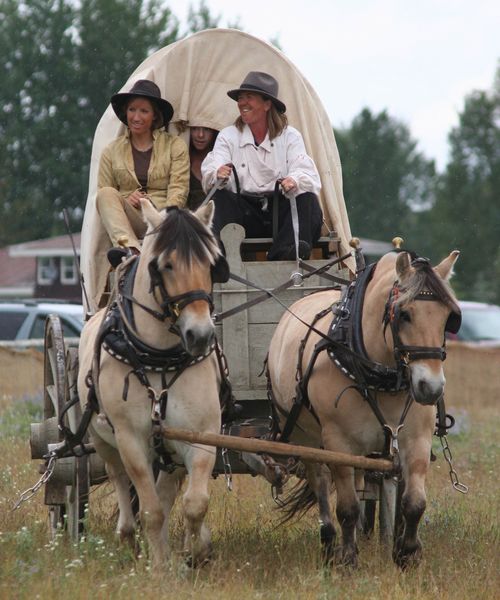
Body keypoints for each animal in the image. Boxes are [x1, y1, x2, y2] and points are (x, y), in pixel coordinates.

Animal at [77, 200, 229, 568]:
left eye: (211, 263)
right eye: (166, 264)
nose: (200, 335)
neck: (159, 357)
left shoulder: (202, 433)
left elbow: (194, 502)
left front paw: (196, 551)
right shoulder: (130, 440)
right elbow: (151, 510)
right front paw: (160, 566)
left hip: (169, 449)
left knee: (169, 489)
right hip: (102, 440)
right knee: (119, 478)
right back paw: (128, 538)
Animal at [268, 247, 462, 568]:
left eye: (448, 317)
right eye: (404, 314)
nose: (431, 388)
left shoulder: (416, 438)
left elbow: (414, 502)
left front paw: (406, 552)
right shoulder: (338, 443)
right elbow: (346, 507)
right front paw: (348, 558)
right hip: (305, 437)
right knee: (321, 483)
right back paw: (329, 540)